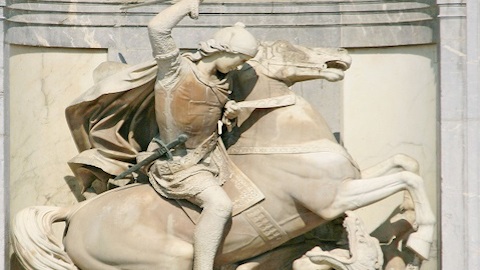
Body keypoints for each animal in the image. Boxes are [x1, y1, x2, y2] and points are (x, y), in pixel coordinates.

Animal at [12, 40, 436, 270]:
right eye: (284, 46)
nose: (341, 55)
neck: (281, 142)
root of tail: (74, 214)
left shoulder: (351, 180)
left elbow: (407, 164)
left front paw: (407, 224)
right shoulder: (334, 198)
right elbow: (408, 178)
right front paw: (422, 239)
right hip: (161, 261)